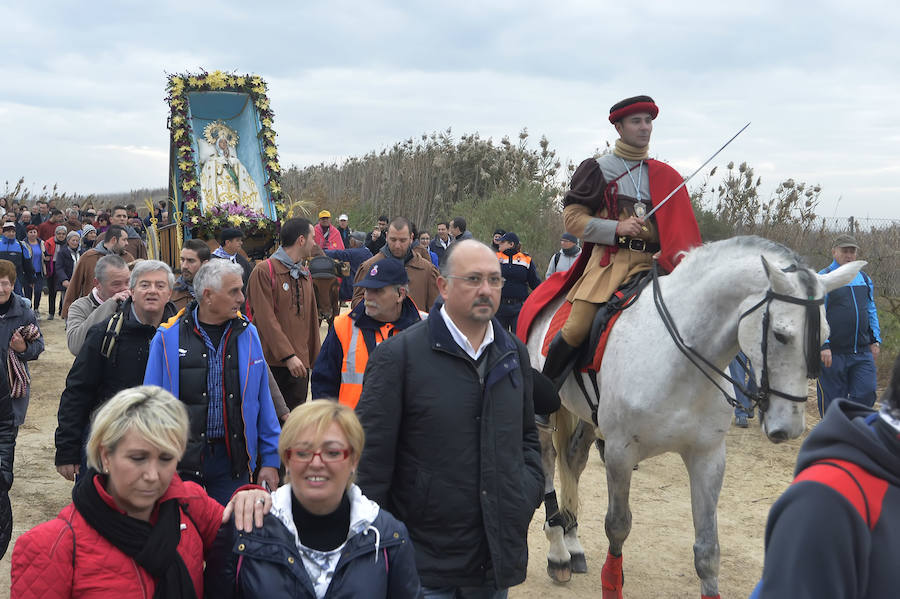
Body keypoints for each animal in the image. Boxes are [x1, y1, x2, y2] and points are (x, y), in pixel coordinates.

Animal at [528, 238, 864, 599]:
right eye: (780, 335)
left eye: (824, 333)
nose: (789, 427)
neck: (680, 361)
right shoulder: (619, 454)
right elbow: (617, 527)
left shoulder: (707, 456)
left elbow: (707, 549)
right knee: (548, 460)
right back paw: (558, 551)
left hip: (590, 420)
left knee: (573, 460)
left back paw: (573, 543)